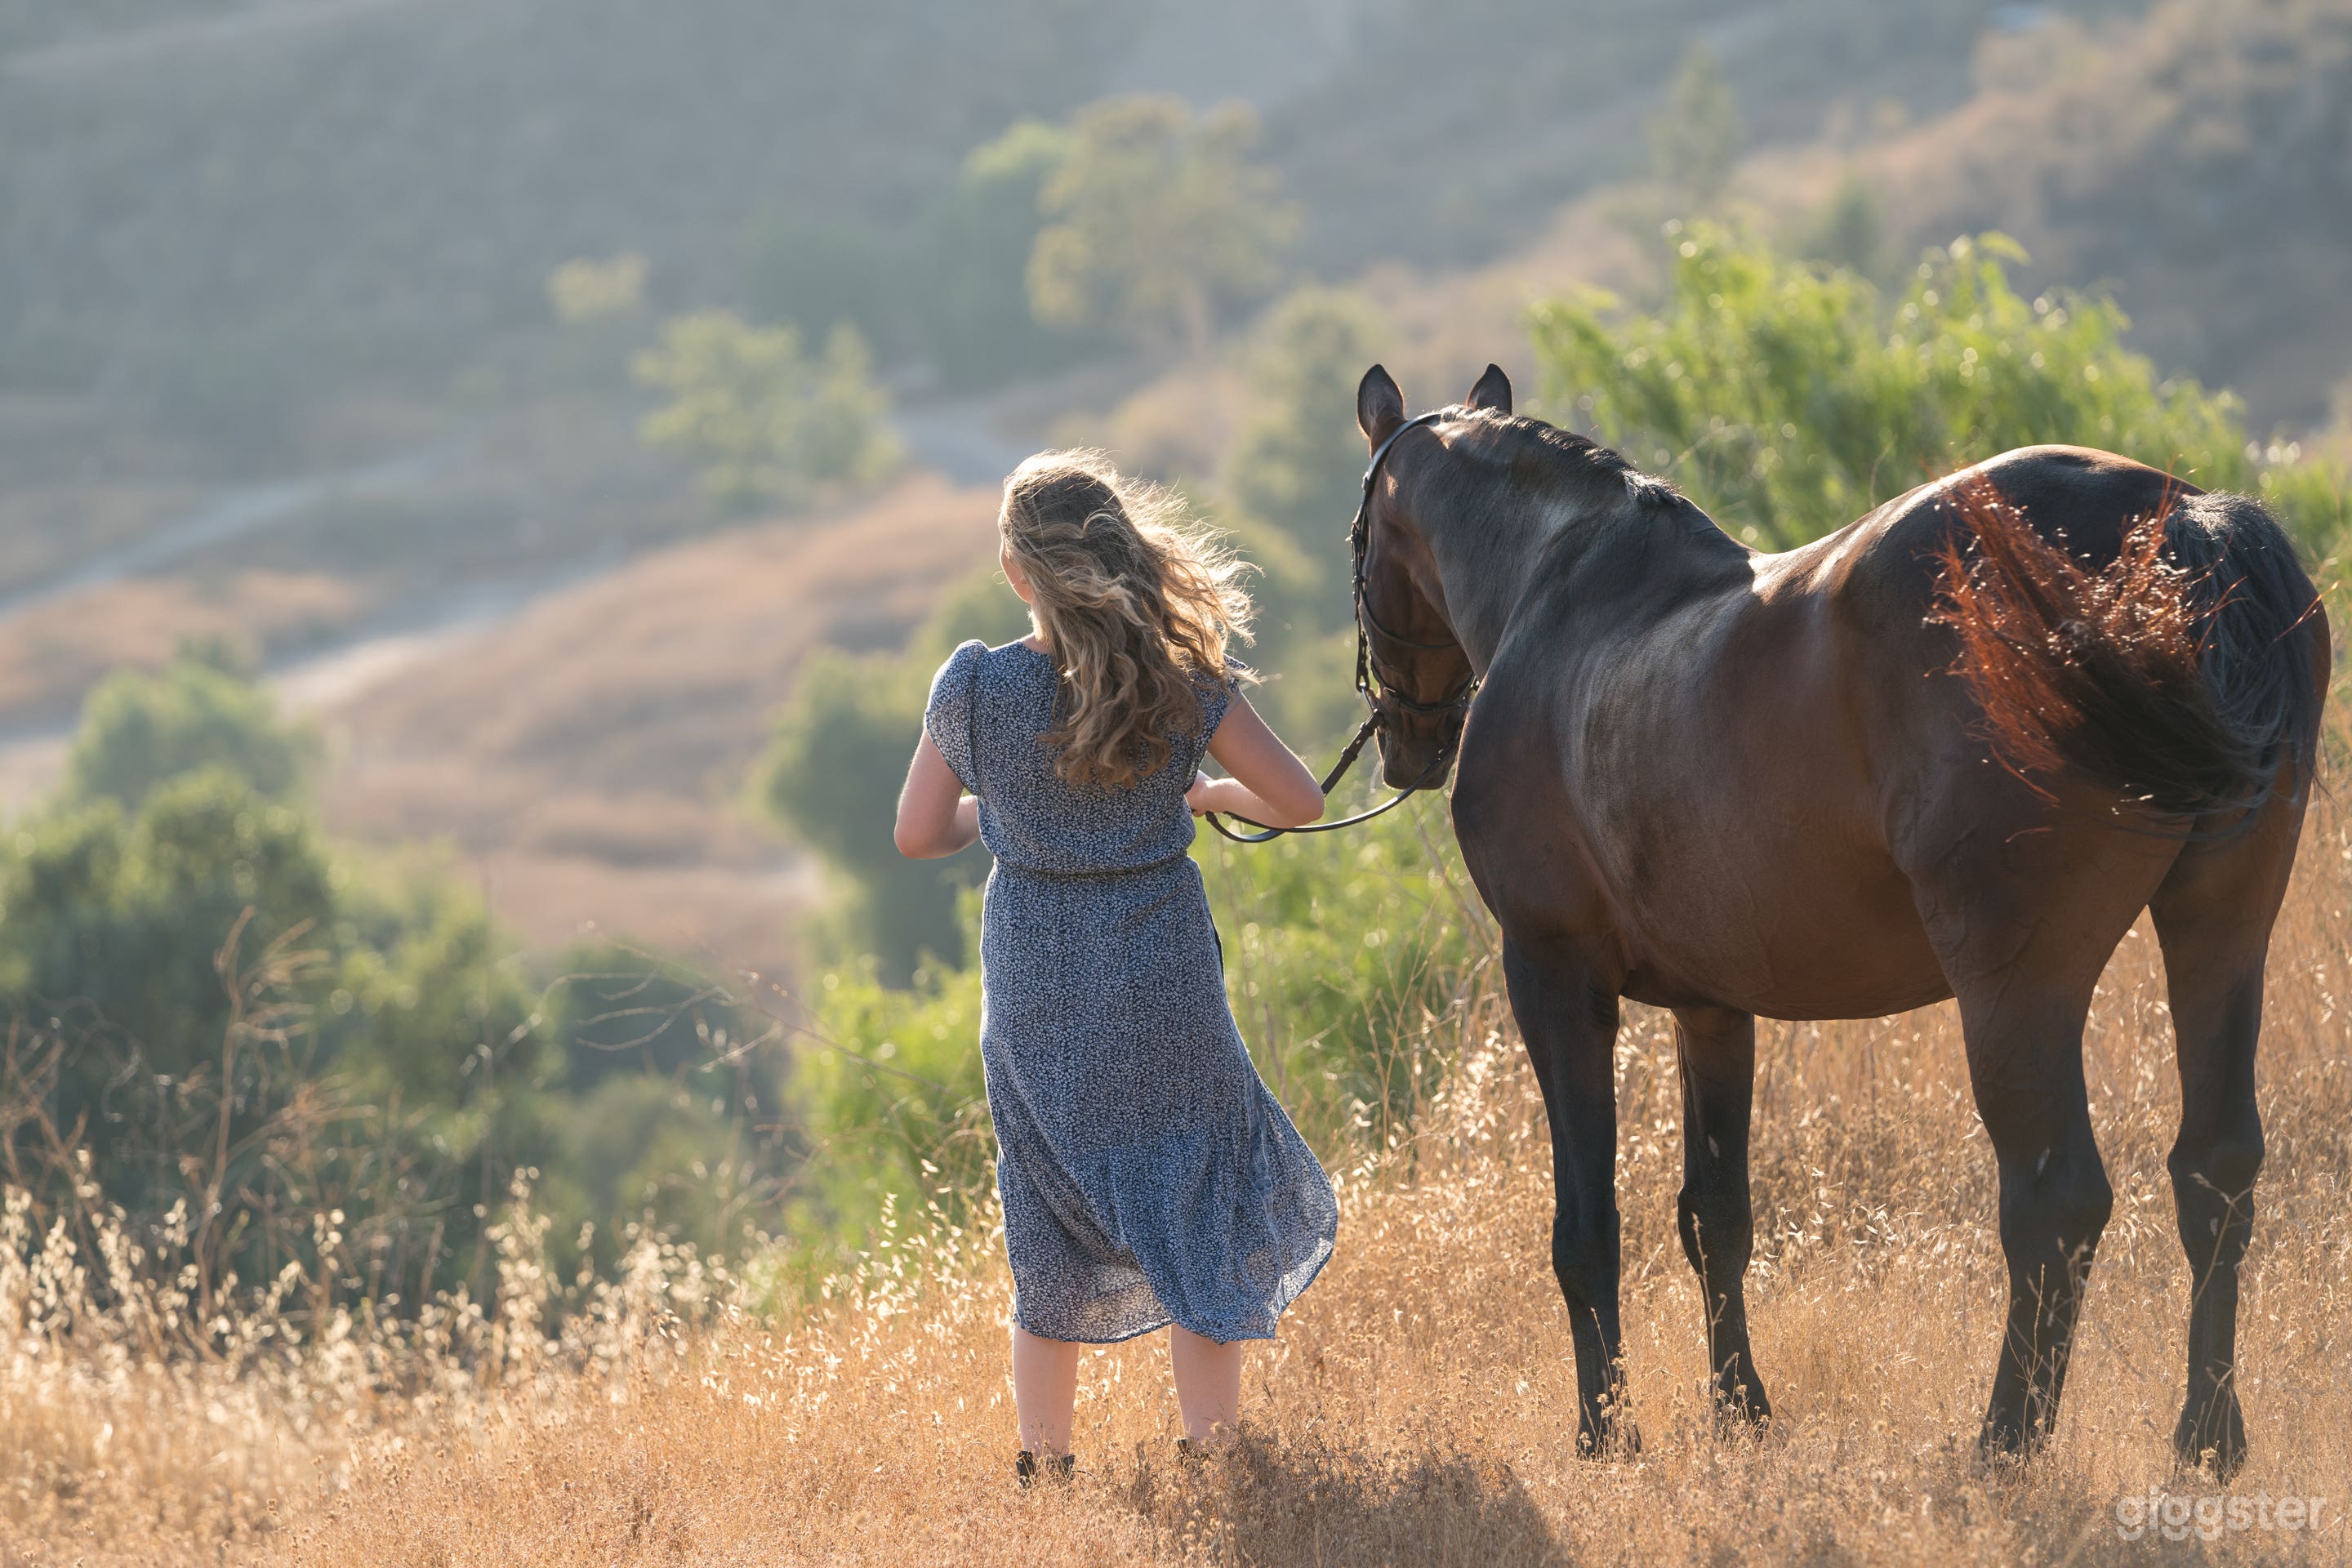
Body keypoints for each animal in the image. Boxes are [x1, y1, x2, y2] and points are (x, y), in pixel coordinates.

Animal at [1348, 361, 2328, 1474]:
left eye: (1359, 540)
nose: (1408, 744)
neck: (1562, 598)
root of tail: (2183, 531)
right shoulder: (1712, 1007)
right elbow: (1716, 1218)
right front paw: (1741, 1411)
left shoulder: (1554, 978)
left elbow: (1586, 1226)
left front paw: (1606, 1433)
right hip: (2222, 933)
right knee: (2215, 1169)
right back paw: (2207, 1439)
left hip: (2019, 984)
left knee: (2057, 1199)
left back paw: (2004, 1444)